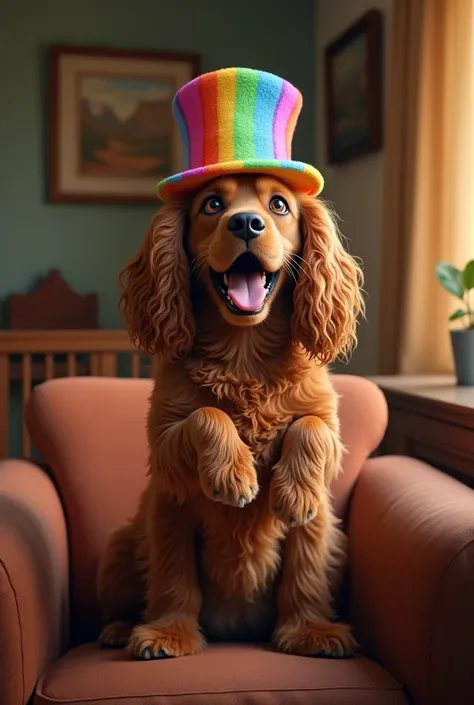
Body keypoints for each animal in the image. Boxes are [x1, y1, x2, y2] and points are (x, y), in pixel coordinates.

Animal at [95, 172, 362, 660]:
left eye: (279, 205)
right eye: (212, 205)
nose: (246, 223)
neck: (245, 355)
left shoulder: (332, 438)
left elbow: (310, 427)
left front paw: (294, 493)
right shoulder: (166, 455)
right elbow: (206, 415)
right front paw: (234, 475)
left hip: (327, 533)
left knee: (306, 574)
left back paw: (311, 629)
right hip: (123, 547)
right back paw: (133, 629)